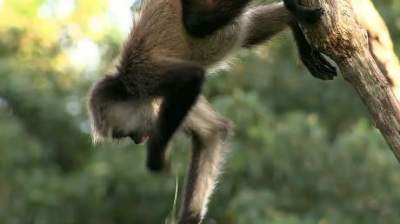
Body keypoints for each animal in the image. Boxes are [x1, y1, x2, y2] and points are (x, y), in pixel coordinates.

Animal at [87, 0, 338, 223]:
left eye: (123, 133)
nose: (138, 140)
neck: (123, 81)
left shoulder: (142, 76)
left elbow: (191, 78)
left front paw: (157, 155)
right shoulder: (158, 105)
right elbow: (212, 132)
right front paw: (190, 218)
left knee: (197, 22)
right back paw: (294, 20)